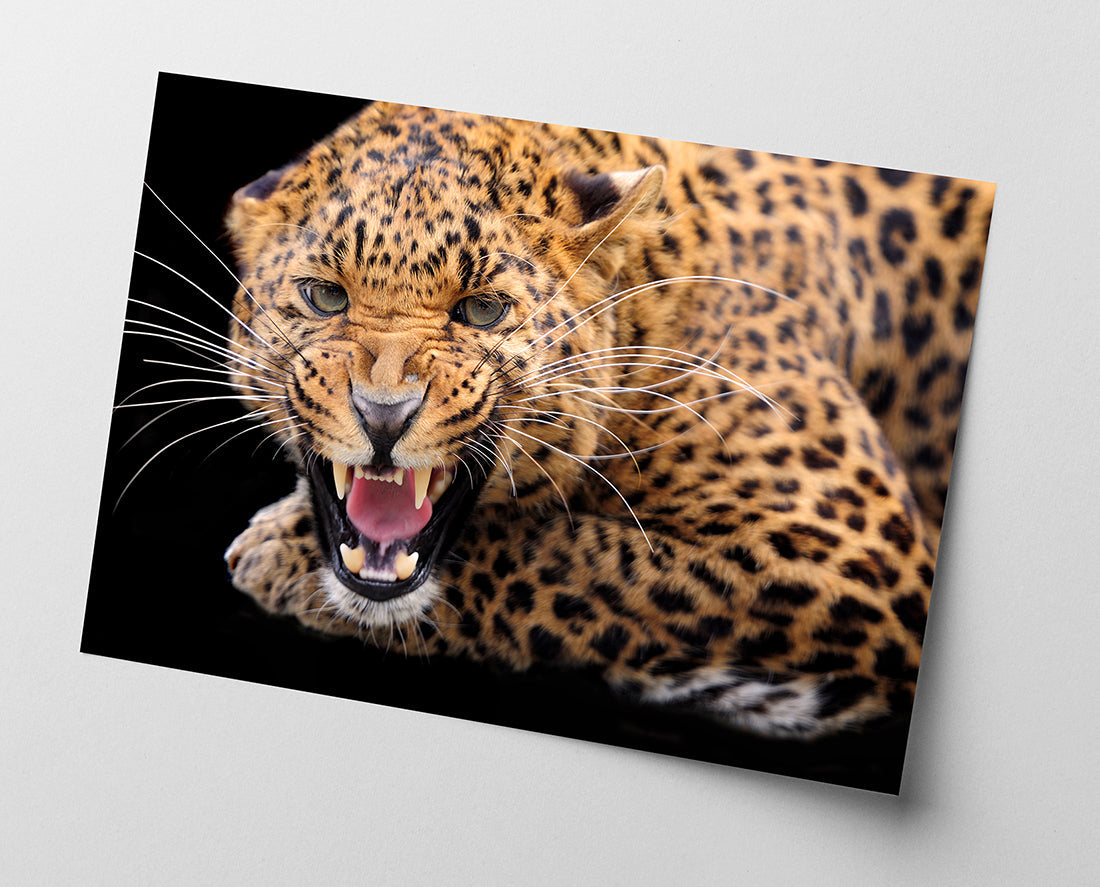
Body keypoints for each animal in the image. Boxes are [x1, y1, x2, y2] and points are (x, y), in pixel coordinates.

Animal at [219, 101, 994, 739]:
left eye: (482, 310)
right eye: (324, 297)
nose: (384, 415)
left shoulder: (860, 554)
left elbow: (579, 557)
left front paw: (279, 555)